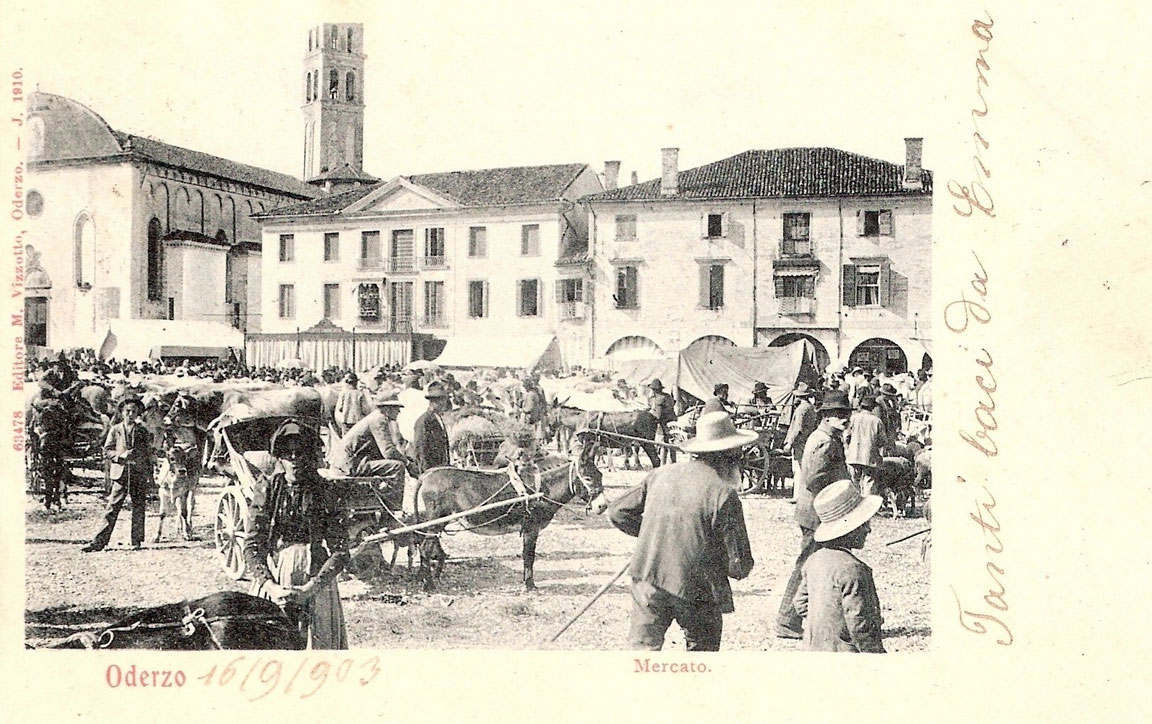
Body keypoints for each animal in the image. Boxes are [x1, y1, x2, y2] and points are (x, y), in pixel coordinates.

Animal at [414, 438, 612, 590]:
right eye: (588, 478)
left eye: (601, 476)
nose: (603, 506)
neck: (540, 489)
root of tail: (426, 475)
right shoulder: (532, 527)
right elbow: (529, 556)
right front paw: (530, 585)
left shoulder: (527, 529)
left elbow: (526, 555)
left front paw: (527, 582)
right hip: (436, 521)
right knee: (425, 549)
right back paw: (428, 585)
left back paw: (426, 580)